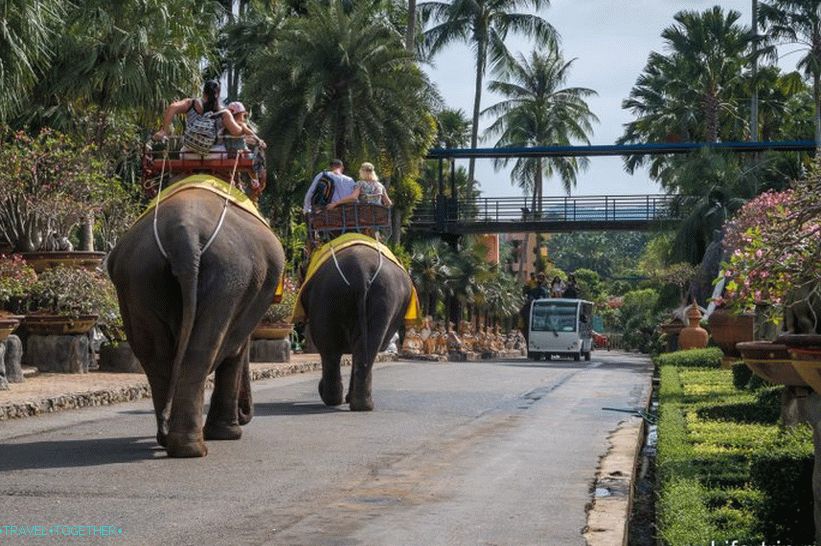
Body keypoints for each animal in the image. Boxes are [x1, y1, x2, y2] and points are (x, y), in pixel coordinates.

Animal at [105, 185, 286, 456]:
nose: (245, 413)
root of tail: (185, 235)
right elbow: (235, 350)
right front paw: (229, 435)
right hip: (230, 276)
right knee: (202, 351)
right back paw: (192, 448)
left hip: (139, 275)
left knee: (156, 356)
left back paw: (170, 440)